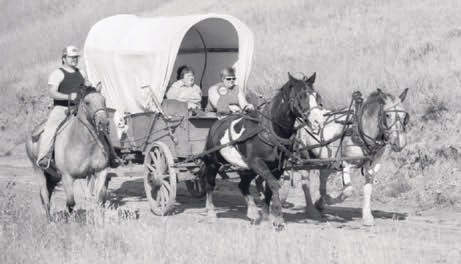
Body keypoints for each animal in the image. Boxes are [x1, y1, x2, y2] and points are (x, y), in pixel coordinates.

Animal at [25, 84, 112, 221]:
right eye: (87, 102)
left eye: (104, 100)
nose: (103, 122)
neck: (84, 142)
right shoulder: (67, 177)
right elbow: (71, 202)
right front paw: (71, 221)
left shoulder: (100, 172)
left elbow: (98, 199)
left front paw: (98, 222)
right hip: (37, 168)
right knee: (44, 194)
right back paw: (50, 220)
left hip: (54, 175)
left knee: (49, 191)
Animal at [198, 71, 324, 227]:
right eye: (301, 96)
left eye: (316, 96)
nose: (318, 121)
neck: (269, 130)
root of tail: (216, 125)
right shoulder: (257, 163)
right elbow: (274, 185)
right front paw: (278, 217)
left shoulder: (276, 167)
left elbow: (269, 189)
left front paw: (265, 216)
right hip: (213, 163)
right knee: (210, 184)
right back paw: (211, 212)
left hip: (247, 169)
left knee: (242, 185)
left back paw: (253, 212)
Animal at [296, 88, 408, 225]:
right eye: (387, 115)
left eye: (404, 116)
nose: (399, 143)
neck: (361, 130)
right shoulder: (345, 163)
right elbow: (349, 191)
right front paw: (330, 199)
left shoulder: (372, 165)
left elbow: (367, 190)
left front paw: (367, 216)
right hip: (305, 158)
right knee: (305, 183)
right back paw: (312, 210)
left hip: (330, 160)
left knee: (323, 175)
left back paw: (320, 203)